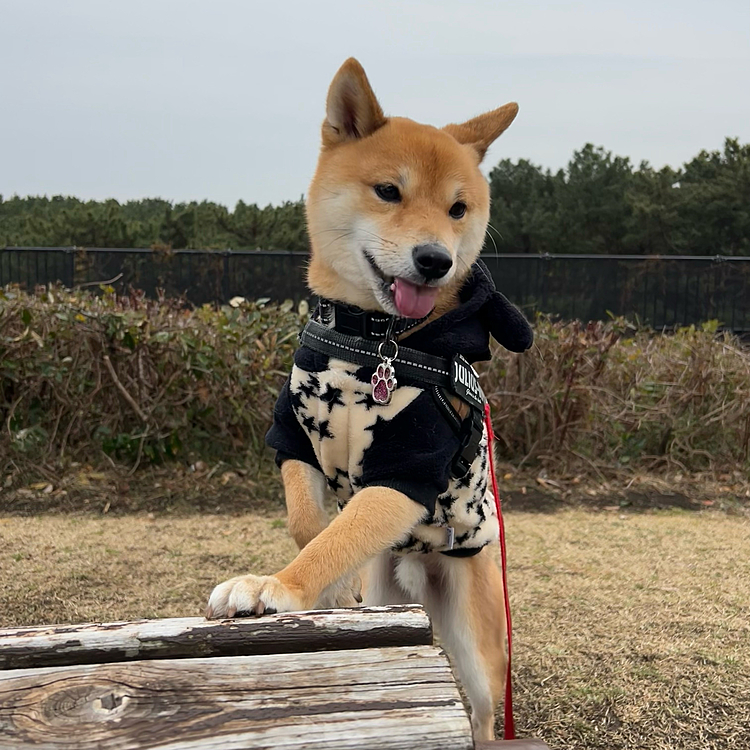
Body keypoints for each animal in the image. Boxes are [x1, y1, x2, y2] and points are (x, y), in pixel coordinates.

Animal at [207, 57, 536, 740]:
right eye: (388, 192)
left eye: (458, 209)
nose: (435, 259)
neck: (372, 342)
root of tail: (422, 567)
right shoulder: (294, 437)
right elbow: (315, 526)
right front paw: (330, 589)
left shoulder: (407, 468)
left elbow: (336, 535)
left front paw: (274, 588)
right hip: (395, 591)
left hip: (476, 640)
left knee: (482, 711)